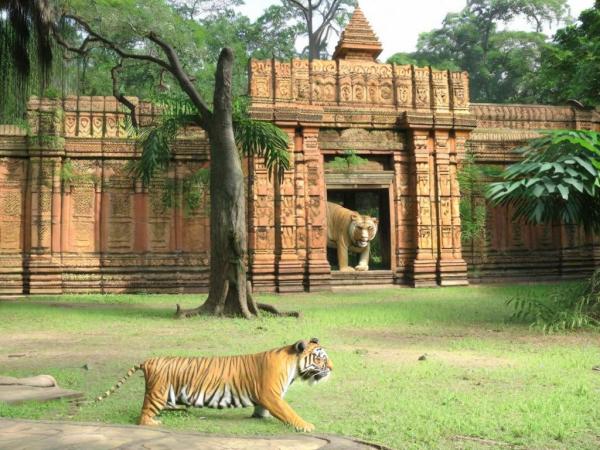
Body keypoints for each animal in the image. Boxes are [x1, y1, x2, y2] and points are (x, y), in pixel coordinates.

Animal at [94, 338, 332, 432]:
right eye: (321, 359)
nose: (332, 368)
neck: (294, 365)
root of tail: (149, 360)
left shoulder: (265, 396)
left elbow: (262, 408)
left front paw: (259, 416)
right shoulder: (271, 394)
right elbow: (288, 412)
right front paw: (306, 426)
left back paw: (180, 410)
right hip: (158, 393)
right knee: (143, 415)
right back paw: (153, 422)